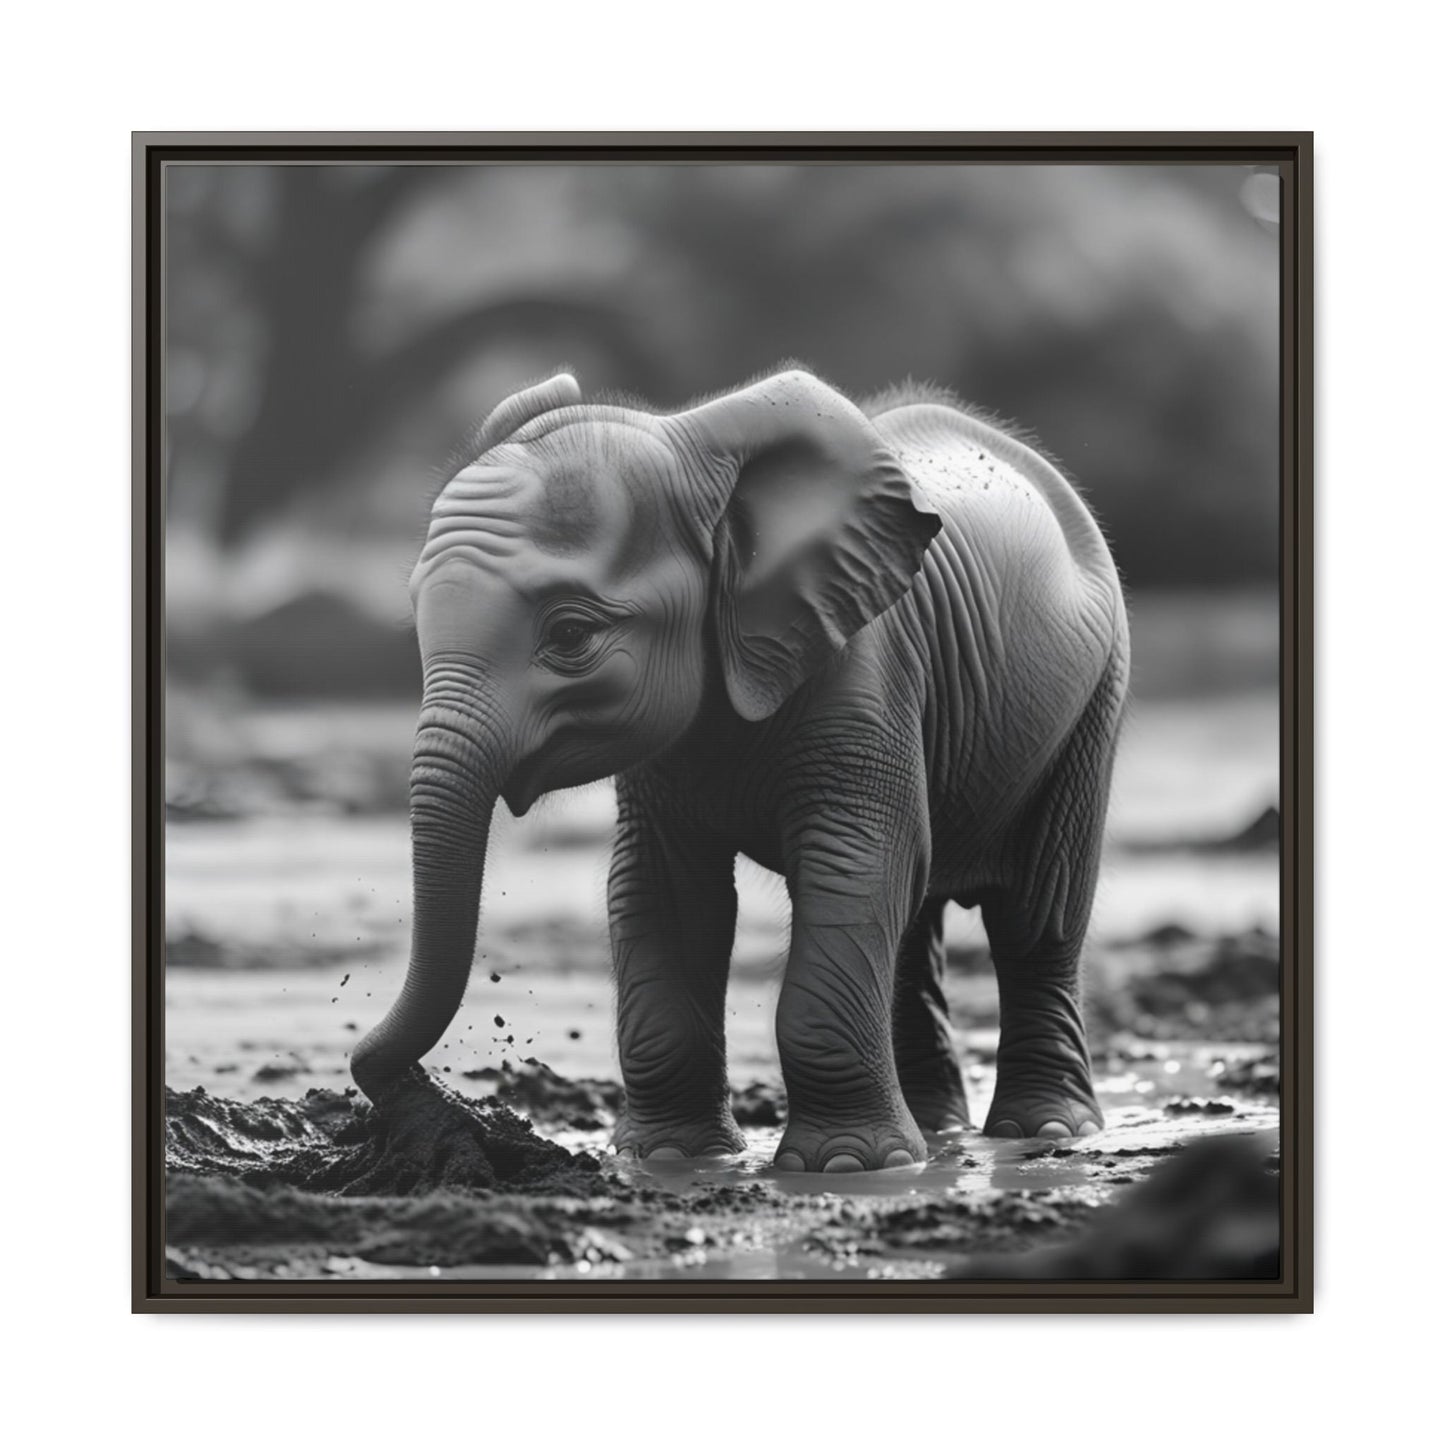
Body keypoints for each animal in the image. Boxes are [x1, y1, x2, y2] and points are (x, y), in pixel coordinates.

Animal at [350, 366, 1130, 1174]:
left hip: (1093, 697)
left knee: (1036, 914)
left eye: (570, 634)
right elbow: (663, 890)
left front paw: (845, 1166)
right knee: (916, 922)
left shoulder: (865, 669)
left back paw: (1044, 1130)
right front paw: (669, 1158)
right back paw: (937, 1133)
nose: (419, 1096)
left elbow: (854, 863)